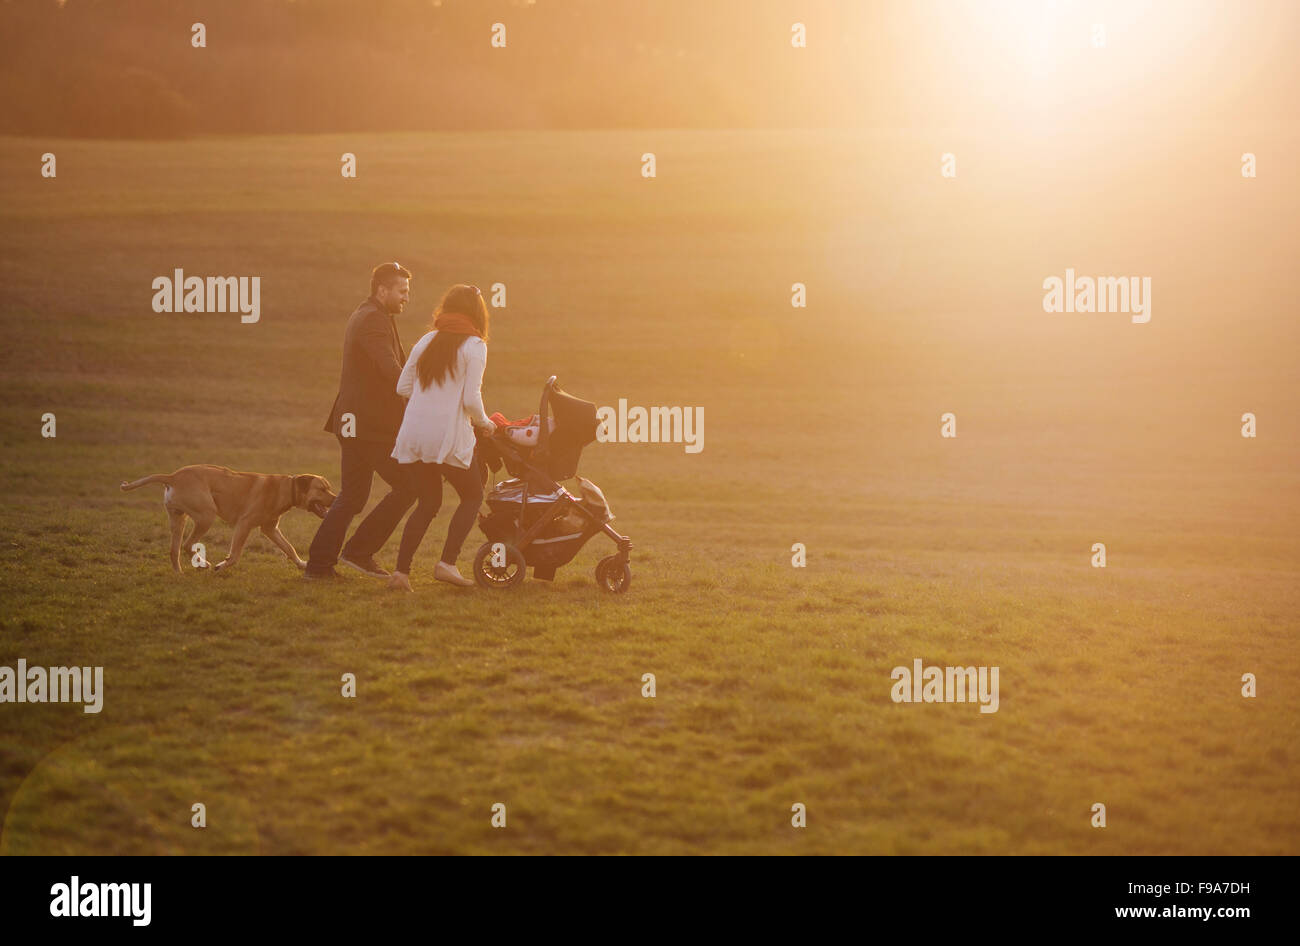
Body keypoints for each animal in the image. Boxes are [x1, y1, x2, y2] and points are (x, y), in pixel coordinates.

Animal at [119, 462, 338, 571]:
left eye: (328, 487)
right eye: (322, 489)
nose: (336, 499)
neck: (286, 489)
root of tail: (172, 476)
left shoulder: (270, 529)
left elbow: (289, 548)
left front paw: (301, 564)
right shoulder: (244, 525)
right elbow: (235, 555)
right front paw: (221, 565)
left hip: (178, 519)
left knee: (175, 551)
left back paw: (179, 575)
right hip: (207, 516)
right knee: (188, 545)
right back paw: (203, 564)